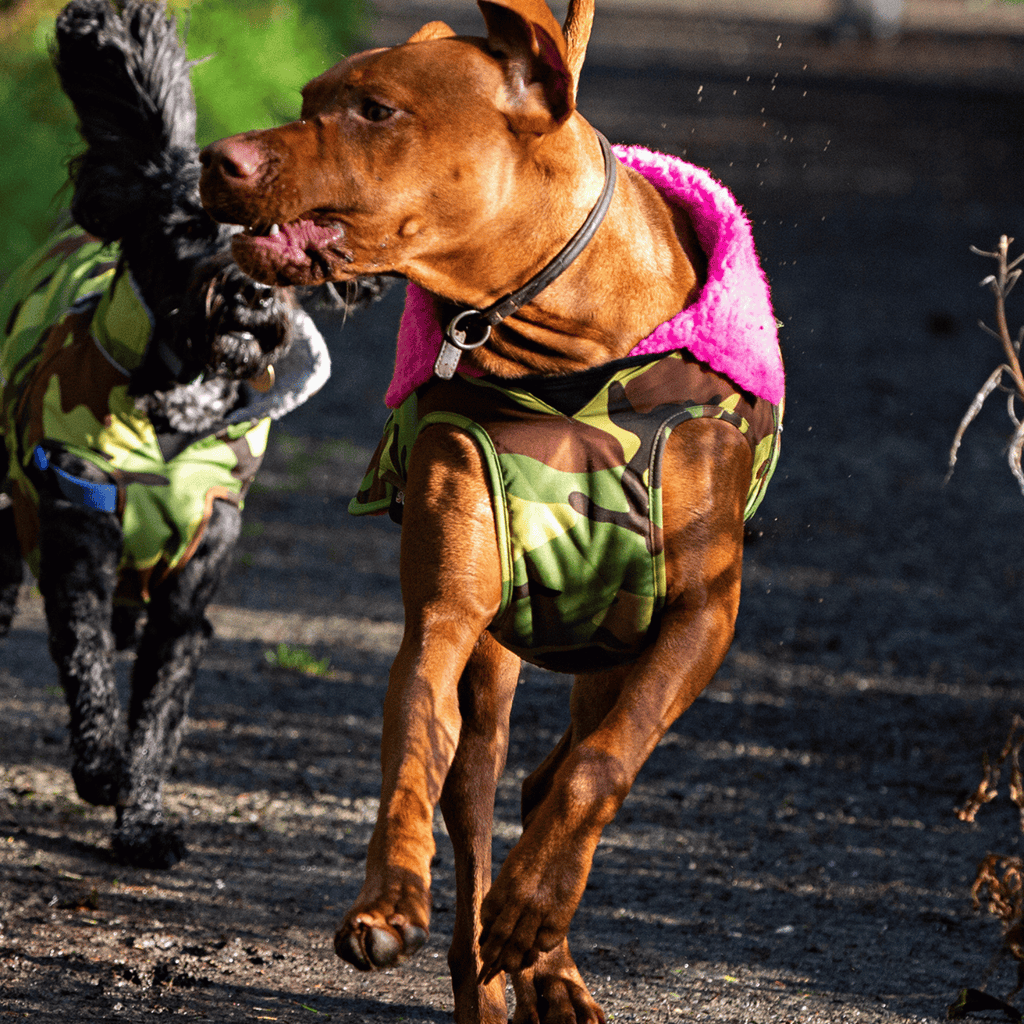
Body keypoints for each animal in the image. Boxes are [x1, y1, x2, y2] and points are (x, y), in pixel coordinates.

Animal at [0, 0, 380, 868]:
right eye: (187, 224)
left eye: (283, 231)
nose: (248, 291)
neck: (179, 413)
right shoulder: (79, 540)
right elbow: (89, 671)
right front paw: (101, 770)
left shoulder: (190, 593)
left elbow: (157, 716)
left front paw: (140, 820)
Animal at [201, 4, 782, 1019]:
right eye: (308, 99)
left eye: (375, 109)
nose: (214, 158)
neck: (564, 356)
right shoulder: (444, 615)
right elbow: (412, 756)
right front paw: (391, 901)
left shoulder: (700, 618)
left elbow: (600, 767)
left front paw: (536, 905)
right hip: (500, 665)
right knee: (475, 798)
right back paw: (493, 973)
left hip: (613, 650)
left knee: (566, 768)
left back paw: (546, 951)